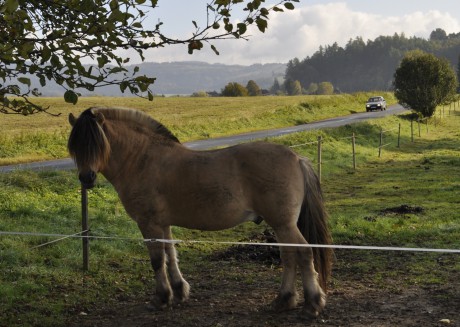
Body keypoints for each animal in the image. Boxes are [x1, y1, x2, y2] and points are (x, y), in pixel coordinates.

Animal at [68, 109, 332, 320]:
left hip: (283, 224)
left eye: (96, 144)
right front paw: (178, 292)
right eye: (75, 146)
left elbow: (157, 260)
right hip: (281, 225)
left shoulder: (148, 224)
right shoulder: (163, 224)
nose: (86, 178)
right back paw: (283, 300)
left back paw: (312, 305)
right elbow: (171, 255)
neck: (143, 159)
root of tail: (296, 158)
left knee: (303, 253)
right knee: (289, 256)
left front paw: (160, 298)